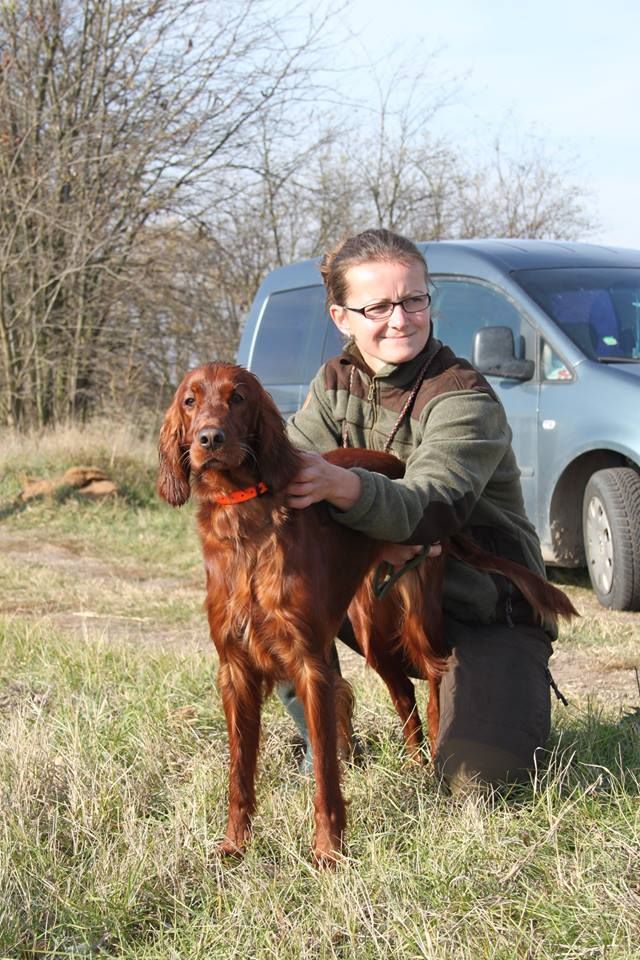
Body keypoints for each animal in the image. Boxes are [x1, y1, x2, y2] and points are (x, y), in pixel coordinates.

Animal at [158, 358, 576, 864]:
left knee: (435, 673)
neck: (245, 522)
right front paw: (234, 845)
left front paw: (328, 852)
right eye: (190, 400)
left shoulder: (309, 664)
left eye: (237, 398)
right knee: (403, 694)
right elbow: (239, 772)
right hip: (372, 628)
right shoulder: (235, 668)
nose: (210, 439)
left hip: (418, 608)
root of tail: (398, 466)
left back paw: (434, 755)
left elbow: (325, 773)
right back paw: (414, 760)